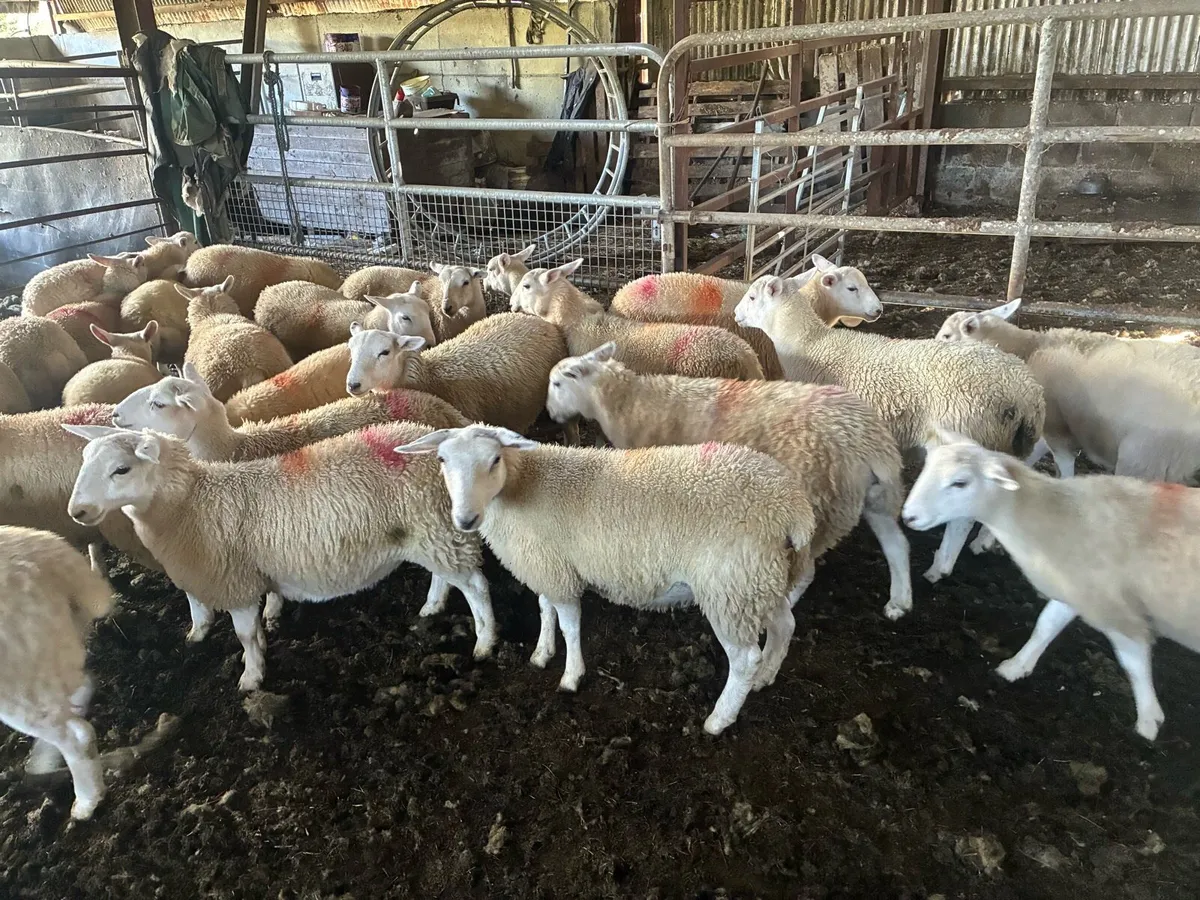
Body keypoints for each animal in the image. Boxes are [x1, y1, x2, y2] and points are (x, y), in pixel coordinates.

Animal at [65, 423, 492, 691]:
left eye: (121, 469)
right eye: (84, 462)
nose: (77, 511)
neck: (190, 505)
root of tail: (429, 442)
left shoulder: (233, 580)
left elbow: (243, 634)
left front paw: (251, 677)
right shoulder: (216, 568)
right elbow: (207, 607)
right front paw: (203, 635)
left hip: (436, 526)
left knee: (476, 585)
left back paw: (485, 642)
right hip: (431, 530)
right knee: (444, 574)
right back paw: (431, 607)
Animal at [396, 425, 815, 736]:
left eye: (494, 458)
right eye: (442, 459)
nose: (464, 520)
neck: (521, 485)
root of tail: (791, 507)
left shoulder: (556, 572)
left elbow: (570, 625)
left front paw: (570, 676)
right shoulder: (549, 564)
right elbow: (545, 609)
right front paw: (541, 653)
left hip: (729, 587)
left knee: (744, 658)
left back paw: (719, 718)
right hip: (759, 580)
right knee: (784, 625)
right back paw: (765, 678)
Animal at [545, 344, 912, 619]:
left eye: (558, 384)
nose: (549, 415)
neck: (629, 404)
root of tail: (870, 441)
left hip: (821, 506)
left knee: (806, 572)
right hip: (868, 497)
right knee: (896, 544)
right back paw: (899, 602)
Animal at [735, 268, 1045, 584]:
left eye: (752, 297)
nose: (736, 314)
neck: (808, 342)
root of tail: (1024, 393)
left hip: (966, 433)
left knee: (962, 516)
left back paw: (940, 567)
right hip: (1007, 443)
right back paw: (985, 541)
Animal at [902, 433, 1200, 741]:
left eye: (960, 483)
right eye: (925, 467)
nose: (908, 516)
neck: (1058, 517)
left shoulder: (1115, 610)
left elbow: (1134, 663)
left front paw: (1149, 721)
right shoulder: (1074, 588)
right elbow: (1045, 625)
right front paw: (1016, 667)